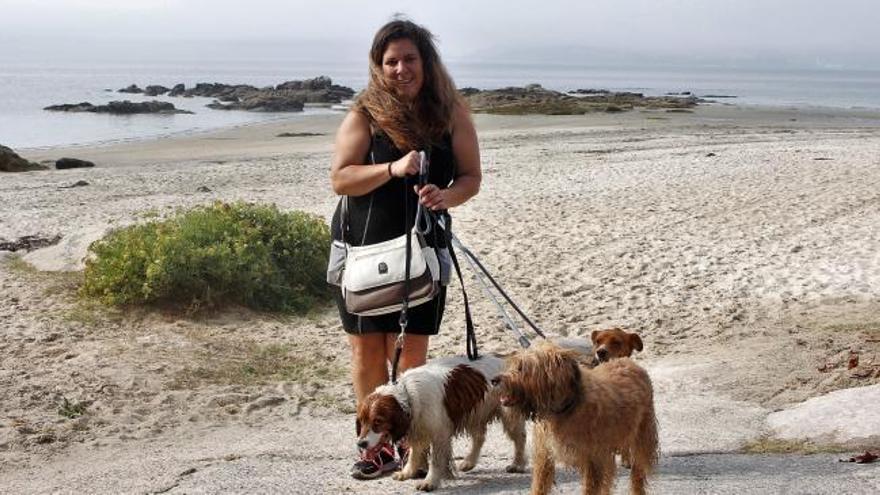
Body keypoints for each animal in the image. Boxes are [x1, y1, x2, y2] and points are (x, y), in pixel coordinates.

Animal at [356, 356, 524, 492]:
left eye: (378, 421)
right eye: (362, 421)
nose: (361, 444)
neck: (409, 395)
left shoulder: (439, 434)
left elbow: (435, 461)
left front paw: (429, 482)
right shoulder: (419, 430)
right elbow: (414, 454)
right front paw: (407, 472)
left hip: (508, 416)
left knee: (519, 439)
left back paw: (518, 464)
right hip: (474, 414)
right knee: (479, 438)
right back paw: (469, 461)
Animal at [492, 342, 656, 495]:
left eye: (522, 367)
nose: (494, 380)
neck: (562, 409)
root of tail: (628, 362)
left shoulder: (592, 460)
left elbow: (590, 489)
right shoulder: (544, 458)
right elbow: (539, 487)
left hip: (641, 440)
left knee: (637, 475)